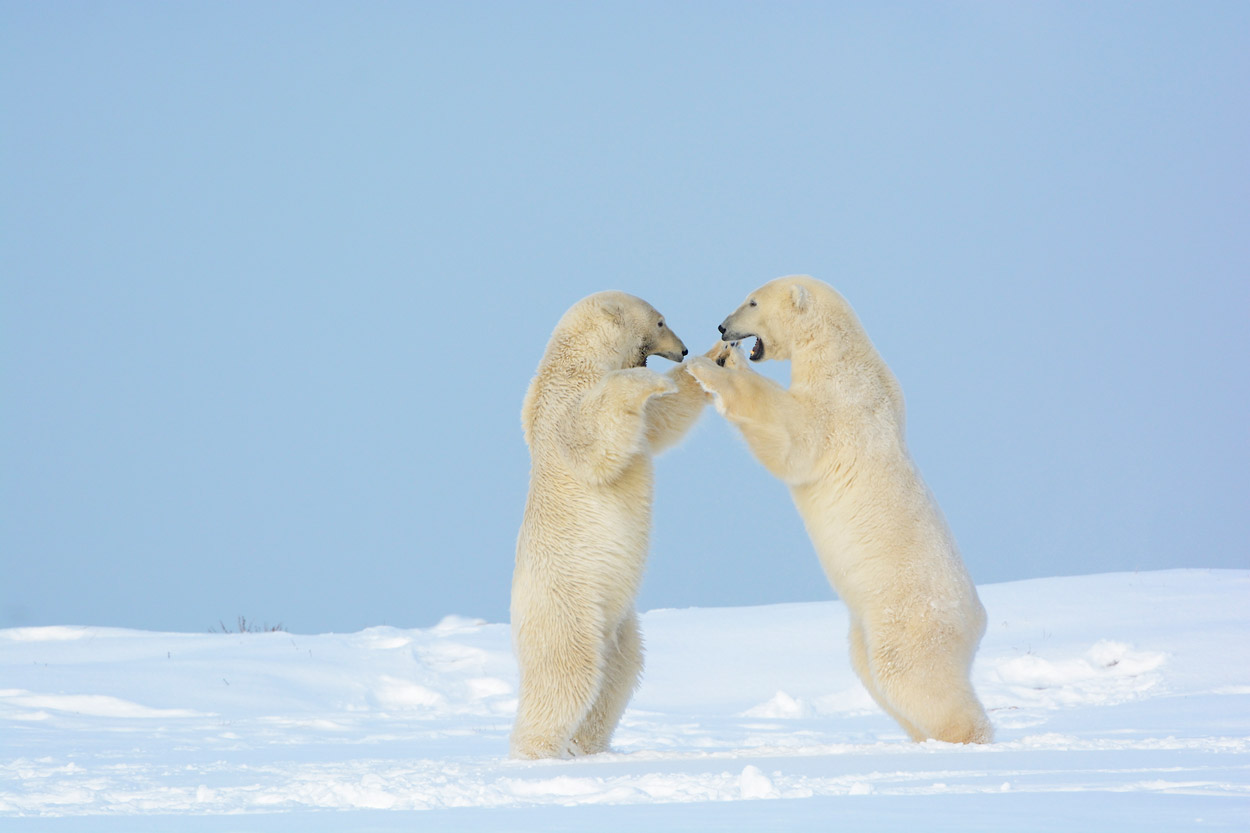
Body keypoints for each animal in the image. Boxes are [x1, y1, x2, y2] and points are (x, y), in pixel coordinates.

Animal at [510, 288, 715, 755]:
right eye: (660, 322)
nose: (683, 349)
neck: (579, 358)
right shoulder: (564, 401)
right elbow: (592, 436)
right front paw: (655, 380)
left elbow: (660, 421)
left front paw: (716, 359)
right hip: (569, 603)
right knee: (566, 673)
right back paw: (537, 751)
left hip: (618, 622)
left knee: (620, 673)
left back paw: (585, 746)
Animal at [690, 275, 990, 740]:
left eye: (752, 301)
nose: (723, 328)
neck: (840, 353)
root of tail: (978, 622)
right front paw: (727, 359)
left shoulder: (842, 403)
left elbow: (794, 434)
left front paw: (706, 370)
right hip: (866, 625)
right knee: (873, 674)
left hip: (910, 619)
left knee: (910, 676)